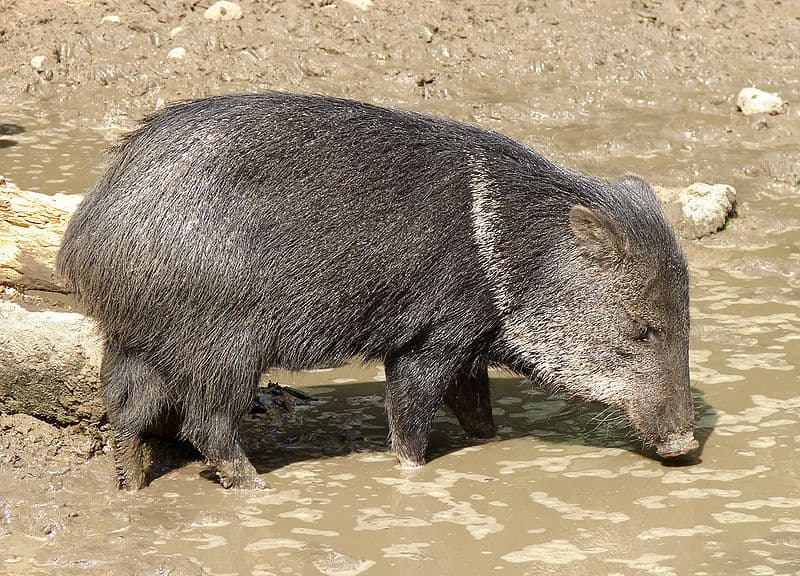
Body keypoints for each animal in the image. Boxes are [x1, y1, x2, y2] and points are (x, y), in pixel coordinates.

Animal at [56, 92, 699, 491]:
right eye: (643, 330)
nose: (685, 445)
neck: (509, 252)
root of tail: (89, 236)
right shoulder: (432, 337)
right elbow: (410, 415)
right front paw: (413, 474)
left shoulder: (469, 346)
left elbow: (477, 411)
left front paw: (492, 446)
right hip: (221, 343)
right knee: (206, 423)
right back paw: (255, 487)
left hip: (135, 338)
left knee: (125, 412)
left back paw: (130, 488)